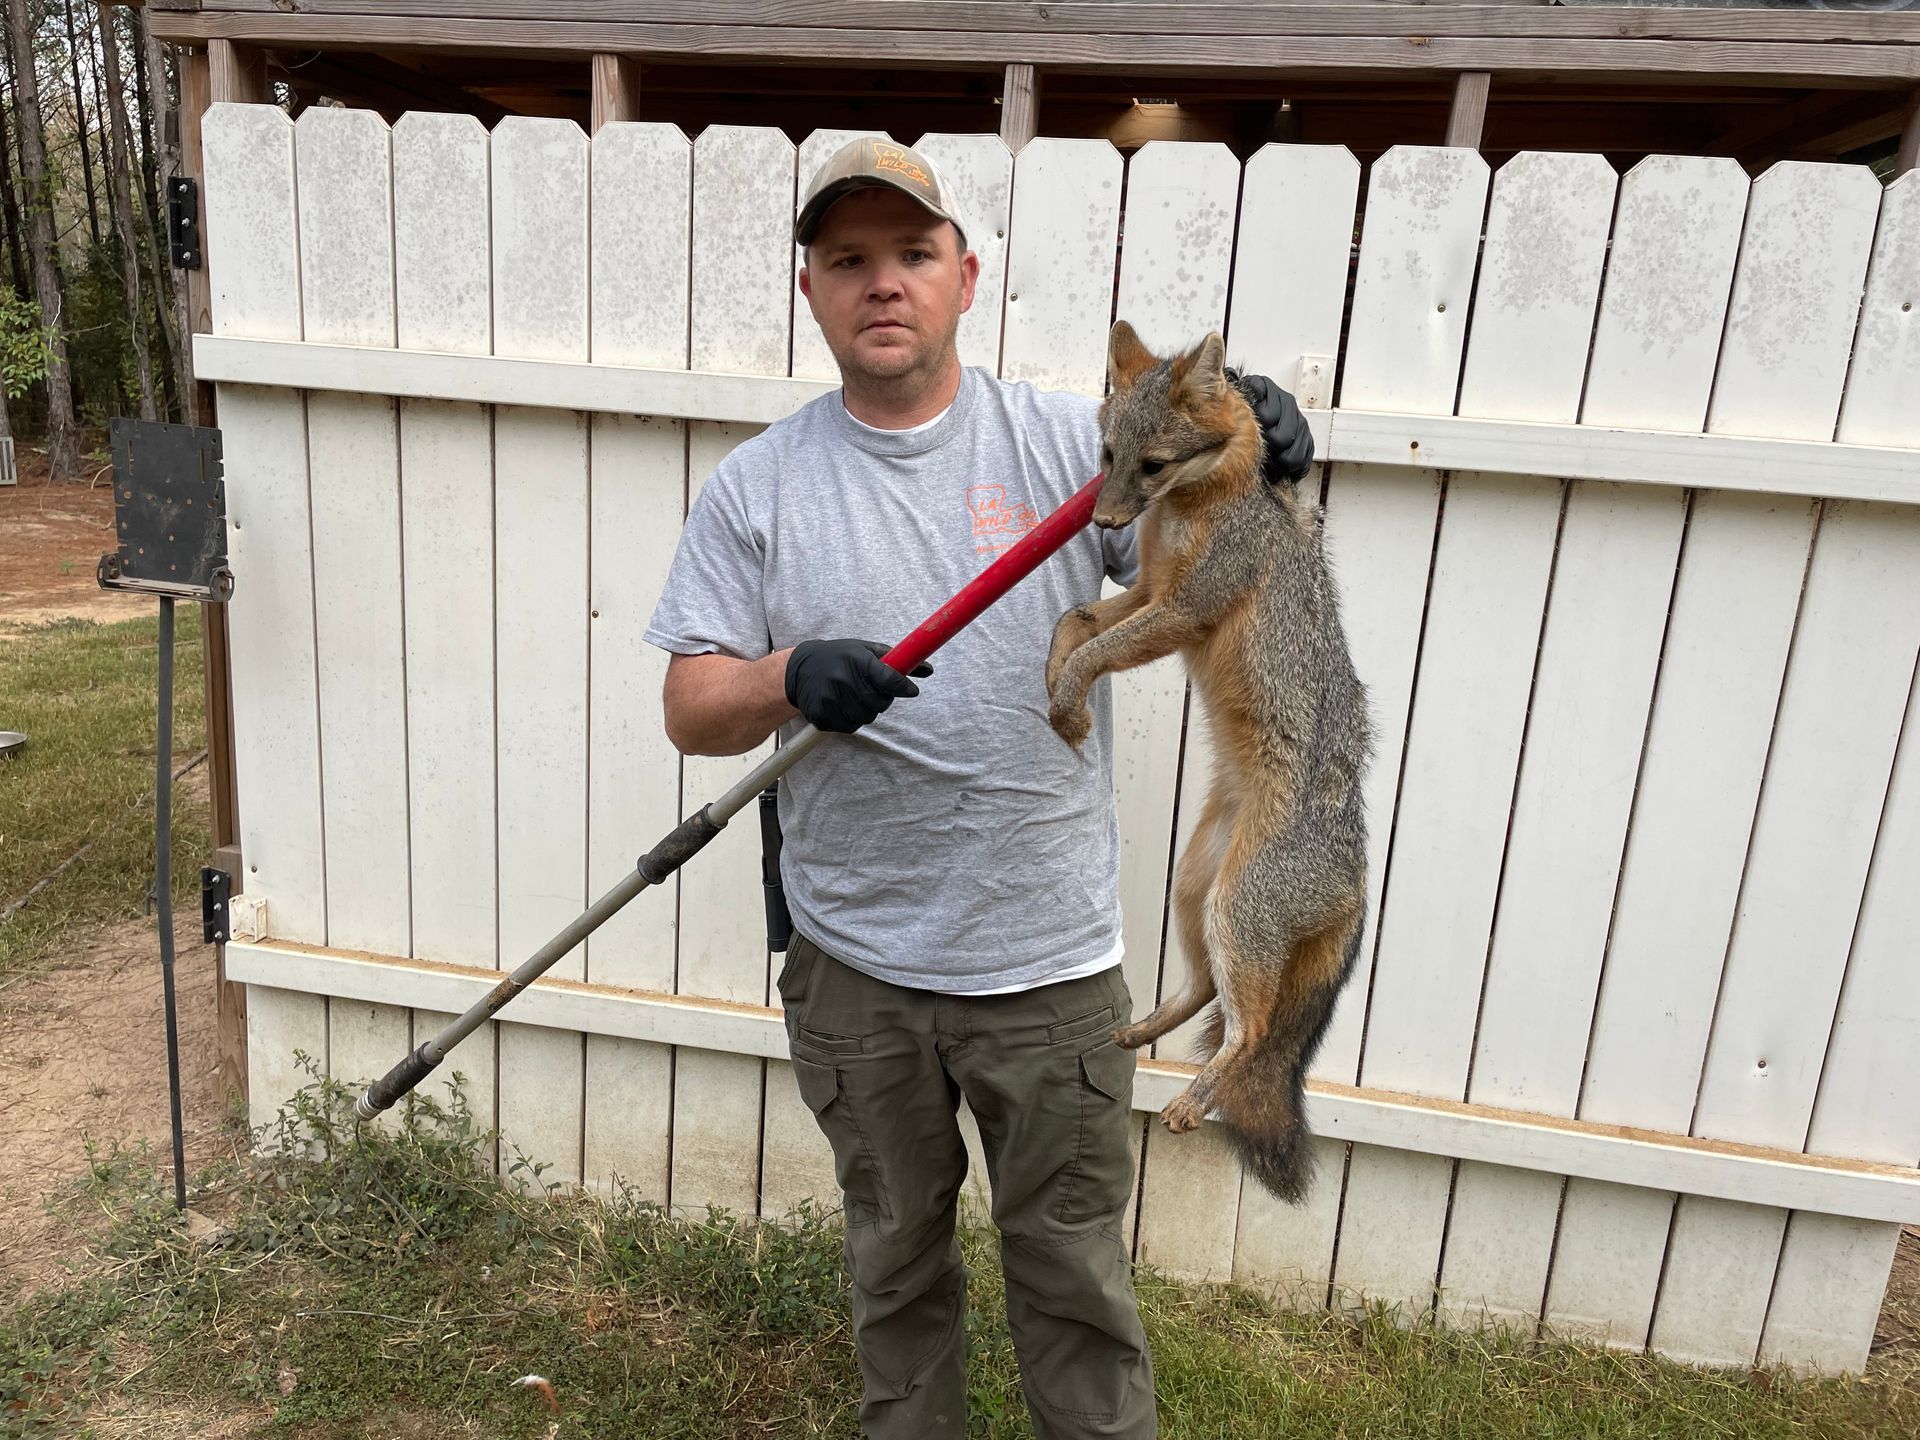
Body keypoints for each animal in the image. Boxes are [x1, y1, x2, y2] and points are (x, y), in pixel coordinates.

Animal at [1045, 320, 1372, 1204]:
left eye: (1153, 466)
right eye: (1106, 455)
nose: (1103, 521)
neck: (1198, 507)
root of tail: (1358, 871)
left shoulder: (1183, 609)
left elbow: (1094, 648)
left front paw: (1067, 697)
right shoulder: (1149, 593)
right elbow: (1072, 621)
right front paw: (1056, 696)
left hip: (1236, 910)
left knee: (1250, 1029)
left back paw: (1195, 1101)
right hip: (1199, 890)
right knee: (1199, 993)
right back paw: (1140, 1033)